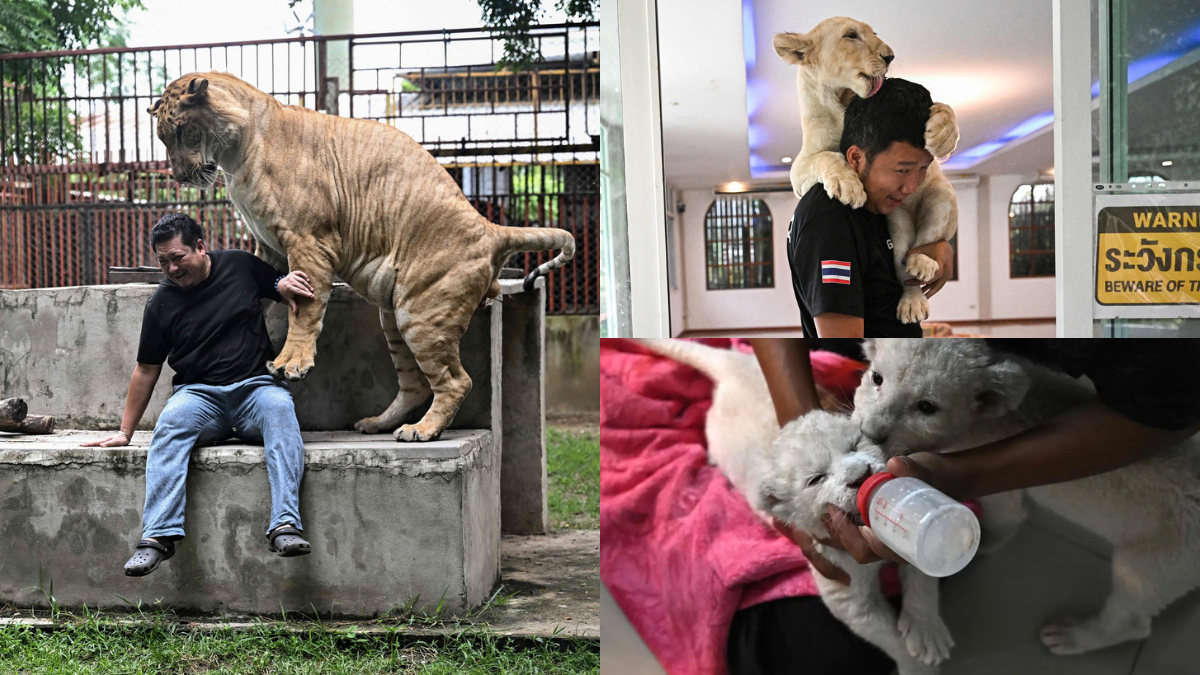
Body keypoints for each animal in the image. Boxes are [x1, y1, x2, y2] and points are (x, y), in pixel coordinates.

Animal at [147, 72, 574, 442]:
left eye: (182, 132)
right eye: (162, 139)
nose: (180, 177)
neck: (235, 155)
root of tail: (490, 228)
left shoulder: (310, 239)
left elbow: (305, 307)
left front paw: (291, 362)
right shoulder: (268, 244)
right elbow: (265, 293)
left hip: (422, 311)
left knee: (456, 381)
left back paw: (422, 431)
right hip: (395, 315)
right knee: (415, 384)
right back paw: (378, 423)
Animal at [774, 17, 960, 323]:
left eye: (875, 33)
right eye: (851, 35)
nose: (890, 56)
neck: (842, 101)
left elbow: (944, 108)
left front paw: (943, 133)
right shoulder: (799, 170)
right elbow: (827, 157)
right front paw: (848, 186)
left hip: (941, 199)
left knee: (927, 244)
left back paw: (922, 269)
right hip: (897, 218)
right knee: (903, 267)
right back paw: (912, 293)